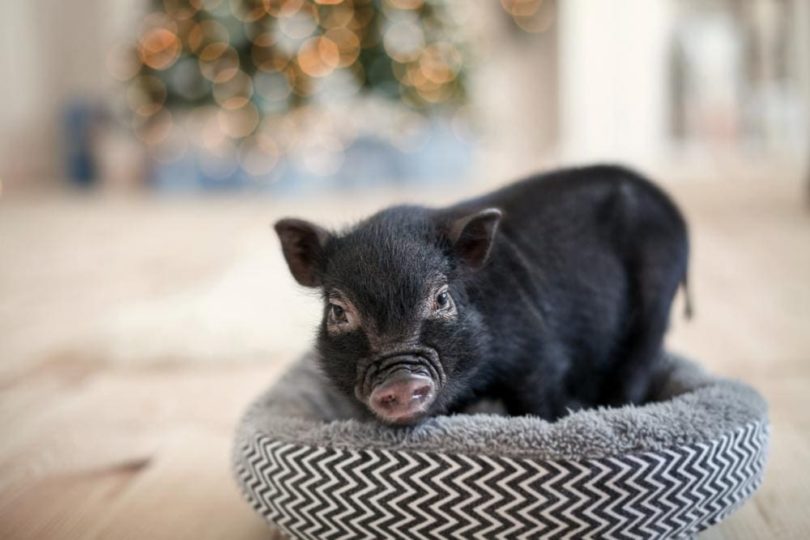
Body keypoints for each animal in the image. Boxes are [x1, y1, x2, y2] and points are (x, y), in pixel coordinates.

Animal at [274, 165, 690, 425]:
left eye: (442, 298)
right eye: (338, 311)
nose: (402, 382)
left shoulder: (538, 359)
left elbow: (540, 403)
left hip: (656, 298)